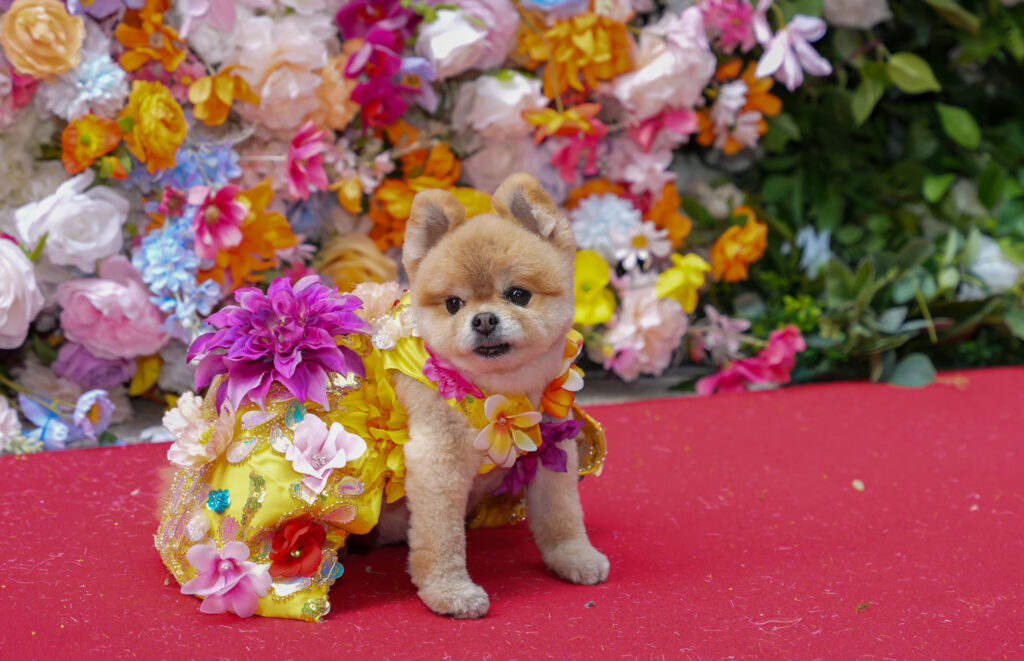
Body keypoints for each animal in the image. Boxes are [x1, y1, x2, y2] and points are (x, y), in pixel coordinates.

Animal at [385, 173, 606, 618]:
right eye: (453, 303)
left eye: (518, 294)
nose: (484, 319)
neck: (501, 393)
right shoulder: (438, 464)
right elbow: (440, 538)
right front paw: (449, 591)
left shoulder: (551, 448)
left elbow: (562, 512)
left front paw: (573, 555)